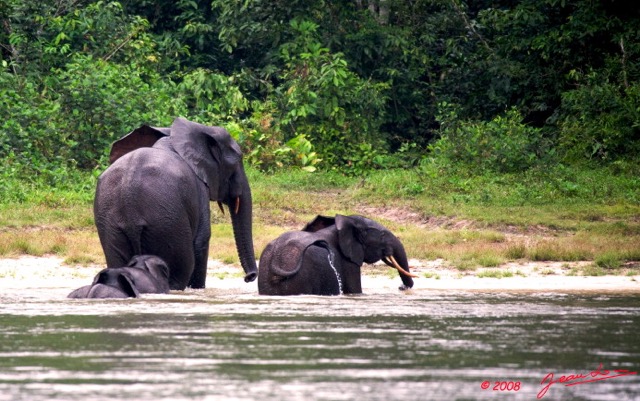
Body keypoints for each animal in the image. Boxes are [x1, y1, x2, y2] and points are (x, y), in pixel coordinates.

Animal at [93, 117, 258, 290]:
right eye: (237, 162)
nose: (249, 277)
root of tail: (128, 195)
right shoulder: (199, 189)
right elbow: (202, 239)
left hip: (111, 226)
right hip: (167, 224)